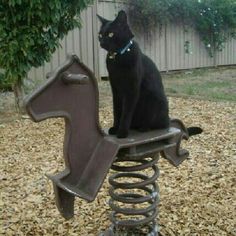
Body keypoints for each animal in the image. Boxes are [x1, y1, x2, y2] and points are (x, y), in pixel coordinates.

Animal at [97, 10, 203, 138]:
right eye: (100, 35)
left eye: (111, 34)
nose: (101, 42)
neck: (118, 57)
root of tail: (168, 118)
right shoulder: (116, 89)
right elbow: (116, 110)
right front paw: (115, 128)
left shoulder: (132, 90)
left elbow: (126, 112)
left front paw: (122, 132)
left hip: (155, 101)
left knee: (160, 125)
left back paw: (144, 128)